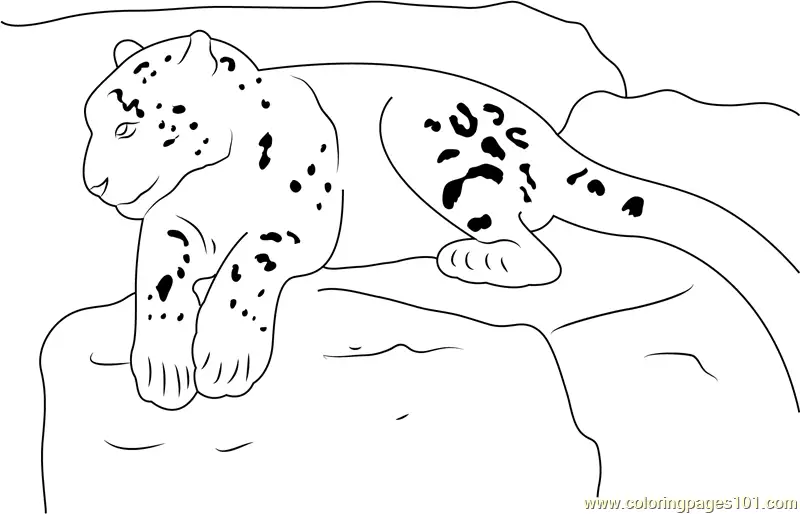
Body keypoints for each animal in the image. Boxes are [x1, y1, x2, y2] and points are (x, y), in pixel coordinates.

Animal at [83, 30, 800, 410]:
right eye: (90, 121)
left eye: (125, 124)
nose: (94, 183)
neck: (215, 184)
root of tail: (545, 132)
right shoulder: (175, 224)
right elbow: (161, 281)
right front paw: (163, 368)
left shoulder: (297, 222)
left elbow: (246, 264)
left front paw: (224, 355)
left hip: (427, 137)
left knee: (537, 250)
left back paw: (469, 255)